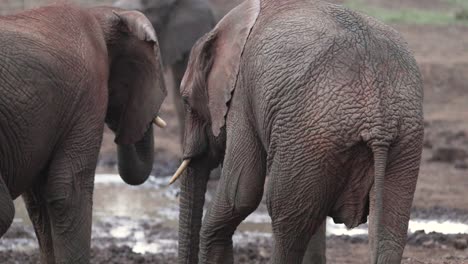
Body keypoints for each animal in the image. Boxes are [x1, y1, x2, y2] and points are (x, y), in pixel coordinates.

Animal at [171, 0, 424, 264]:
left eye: (187, 101)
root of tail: (378, 121)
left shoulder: (241, 96)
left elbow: (240, 193)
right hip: (399, 141)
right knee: (389, 230)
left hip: (311, 137)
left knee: (284, 221)